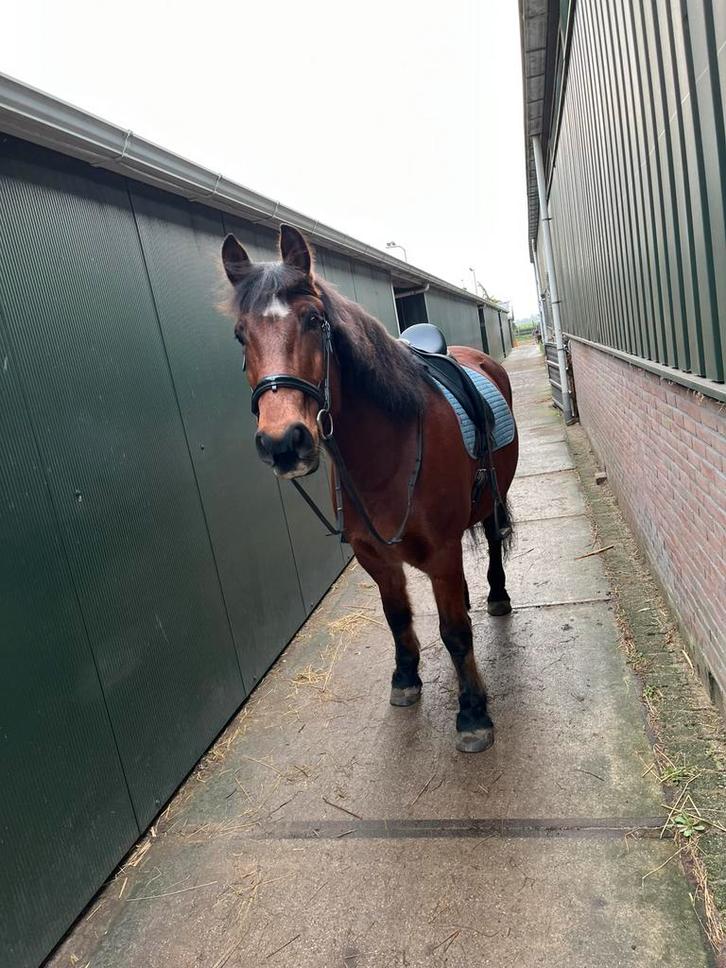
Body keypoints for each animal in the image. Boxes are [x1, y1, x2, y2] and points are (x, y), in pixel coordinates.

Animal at [221, 225, 518, 752]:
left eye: (314, 320)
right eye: (241, 334)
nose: (283, 442)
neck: (389, 451)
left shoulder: (441, 550)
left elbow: (455, 633)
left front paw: (473, 713)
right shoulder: (373, 556)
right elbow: (398, 617)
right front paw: (406, 680)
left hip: (492, 499)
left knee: (490, 542)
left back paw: (496, 596)